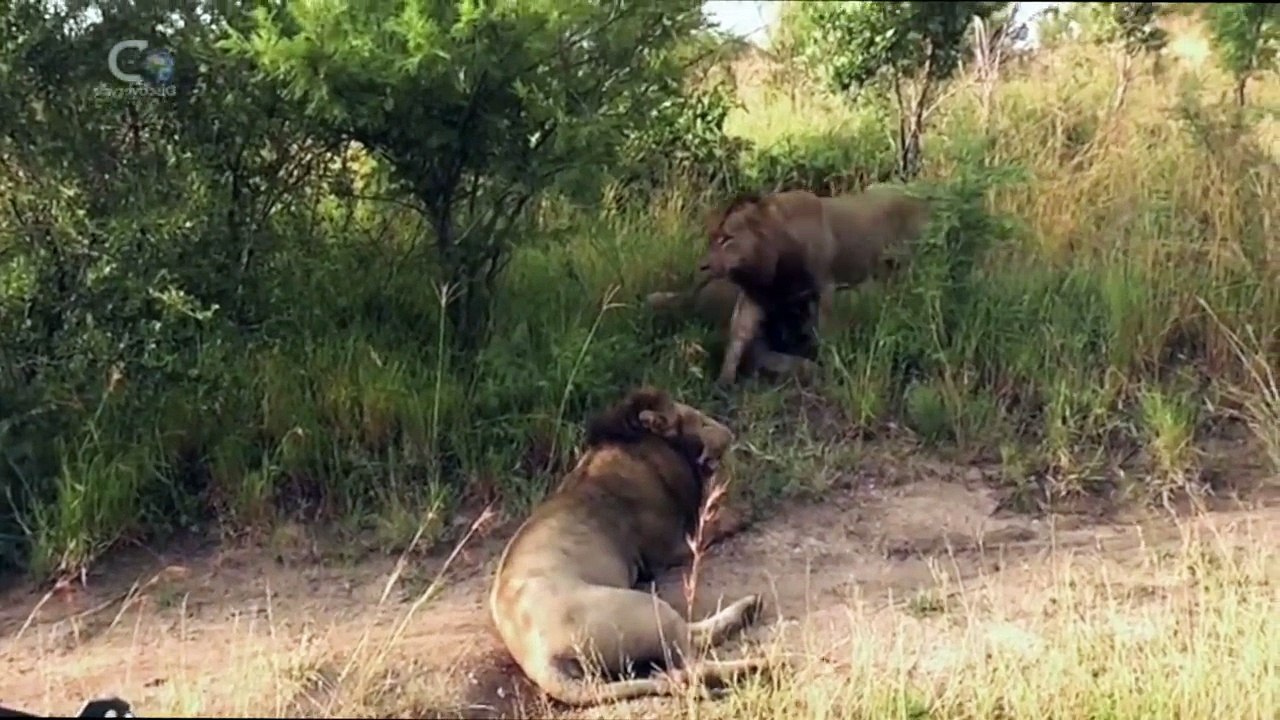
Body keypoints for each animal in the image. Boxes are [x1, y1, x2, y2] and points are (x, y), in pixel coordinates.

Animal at [489, 388, 775, 707]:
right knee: (689, 662)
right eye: (699, 421)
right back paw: (760, 661)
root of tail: (540, 661)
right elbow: (711, 527)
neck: (641, 447)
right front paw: (742, 513)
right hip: (648, 608)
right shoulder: (672, 546)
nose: (728, 433)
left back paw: (750, 609)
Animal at [700, 185, 931, 385]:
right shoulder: (754, 294)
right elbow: (737, 335)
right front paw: (724, 381)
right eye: (711, 239)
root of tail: (919, 200)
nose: (704, 266)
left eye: (726, 239)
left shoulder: (824, 288)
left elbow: (824, 334)